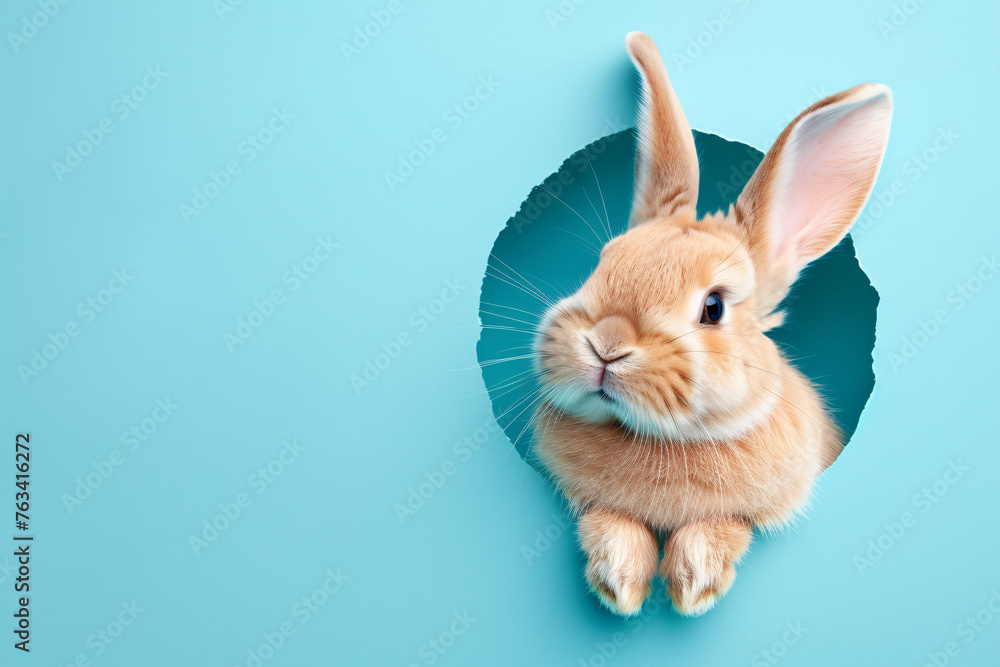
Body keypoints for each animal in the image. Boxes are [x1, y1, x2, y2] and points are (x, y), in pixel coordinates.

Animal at [532, 31, 892, 617]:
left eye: (714, 307)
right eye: (602, 264)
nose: (606, 345)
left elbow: (726, 524)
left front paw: (694, 583)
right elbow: (607, 519)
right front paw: (619, 582)